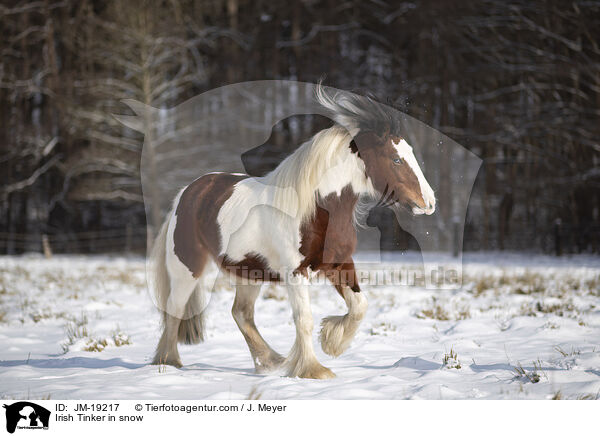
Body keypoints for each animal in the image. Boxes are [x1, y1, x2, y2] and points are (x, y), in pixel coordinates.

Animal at [148, 85, 434, 378]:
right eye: (396, 159)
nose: (429, 202)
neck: (316, 210)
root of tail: (188, 192)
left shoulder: (340, 263)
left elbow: (359, 306)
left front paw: (332, 342)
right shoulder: (295, 272)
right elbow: (304, 319)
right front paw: (313, 369)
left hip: (249, 272)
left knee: (241, 313)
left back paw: (269, 361)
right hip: (187, 268)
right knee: (174, 309)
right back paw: (168, 362)